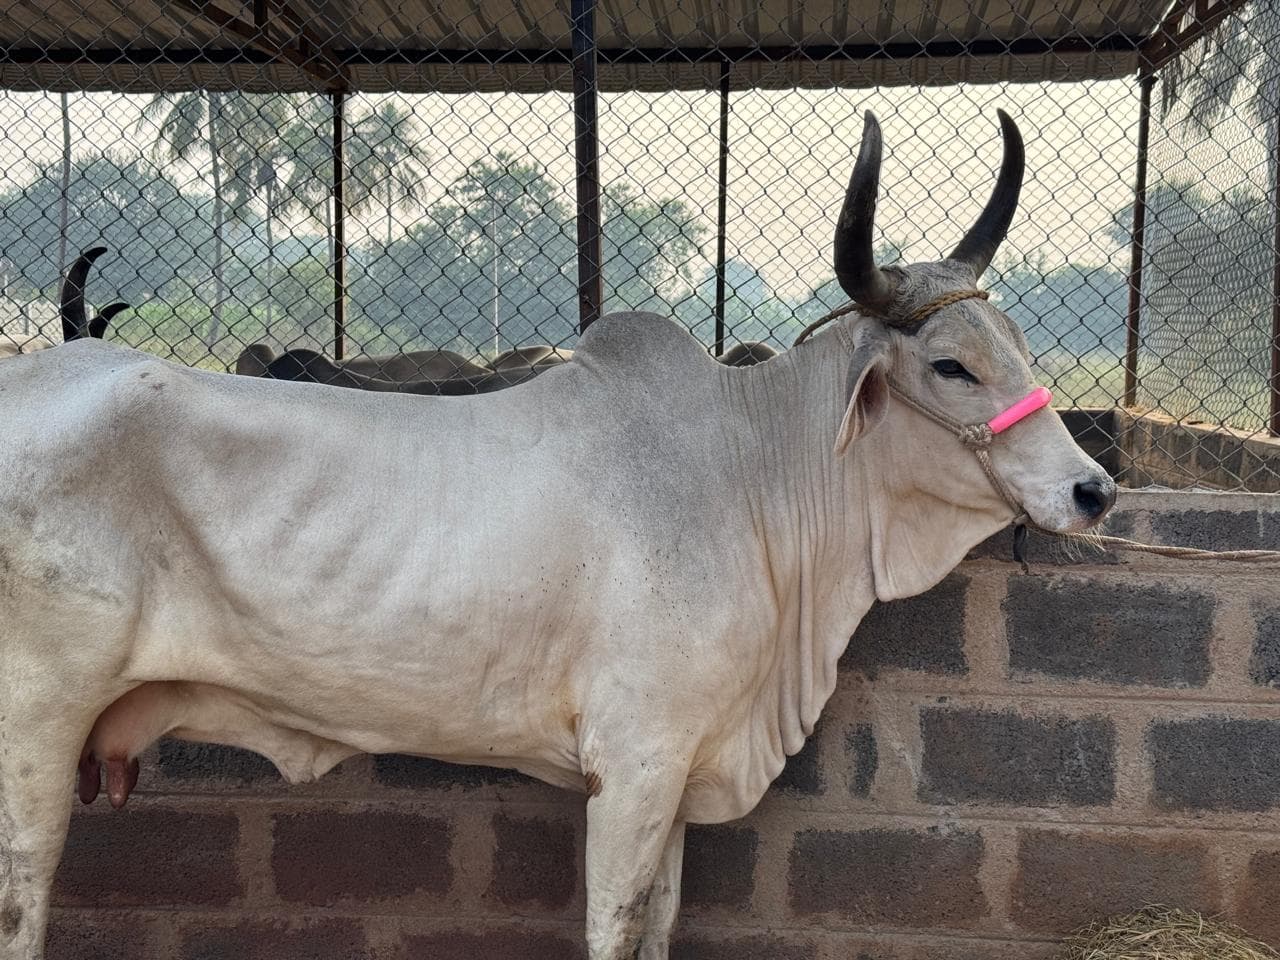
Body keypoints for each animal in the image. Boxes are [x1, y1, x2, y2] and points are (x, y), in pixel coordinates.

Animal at [0, 109, 1115, 960]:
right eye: (950, 366)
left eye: (1017, 344)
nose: (1093, 489)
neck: (751, 472)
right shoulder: (635, 762)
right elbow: (615, 930)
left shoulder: (679, 769)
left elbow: (658, 926)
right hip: (36, 724)